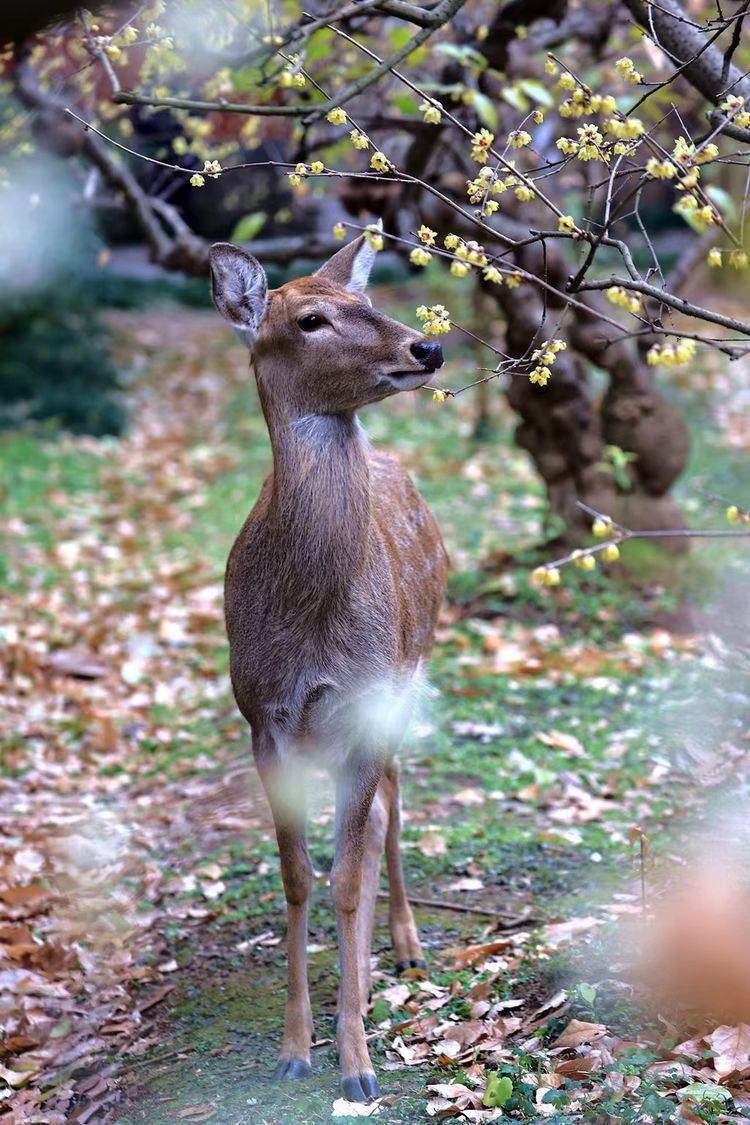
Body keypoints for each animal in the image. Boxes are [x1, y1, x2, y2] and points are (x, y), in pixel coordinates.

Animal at [208, 223, 449, 1102]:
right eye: (311, 319)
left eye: (365, 298)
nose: (428, 345)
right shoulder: (262, 715)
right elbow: (299, 876)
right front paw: (294, 1045)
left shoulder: (367, 700)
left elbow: (346, 874)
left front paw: (357, 1064)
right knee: (377, 814)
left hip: (408, 673)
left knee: (393, 805)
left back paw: (402, 947)